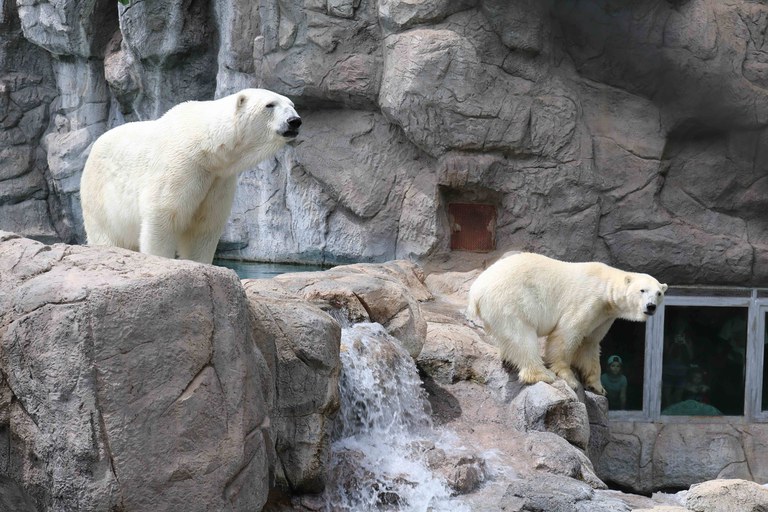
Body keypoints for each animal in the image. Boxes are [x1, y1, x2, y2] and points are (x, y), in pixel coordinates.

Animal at [79, 88, 302, 264]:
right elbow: (164, 215)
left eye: (292, 104)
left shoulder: (219, 179)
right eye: (270, 104)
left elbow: (204, 226)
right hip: (99, 198)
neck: (207, 147)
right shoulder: (182, 166)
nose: (294, 121)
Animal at [468, 252, 664, 392]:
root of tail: (476, 290)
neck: (605, 287)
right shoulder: (587, 300)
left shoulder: (604, 316)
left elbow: (590, 343)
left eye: (659, 293)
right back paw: (543, 374)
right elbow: (567, 333)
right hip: (510, 301)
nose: (651, 306)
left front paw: (597, 386)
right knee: (522, 337)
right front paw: (569, 378)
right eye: (642, 290)